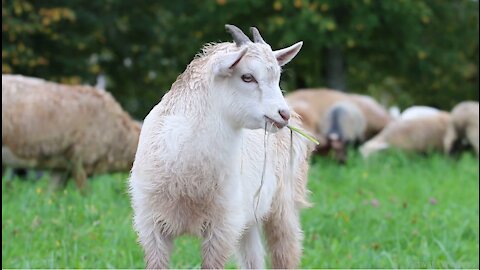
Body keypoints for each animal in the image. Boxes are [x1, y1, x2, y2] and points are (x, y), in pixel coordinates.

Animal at [127, 24, 312, 268]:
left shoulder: (222, 226)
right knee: (253, 258)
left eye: (278, 77)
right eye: (247, 77)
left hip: (284, 203)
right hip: (248, 217)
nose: (283, 114)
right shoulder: (150, 225)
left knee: (286, 251)